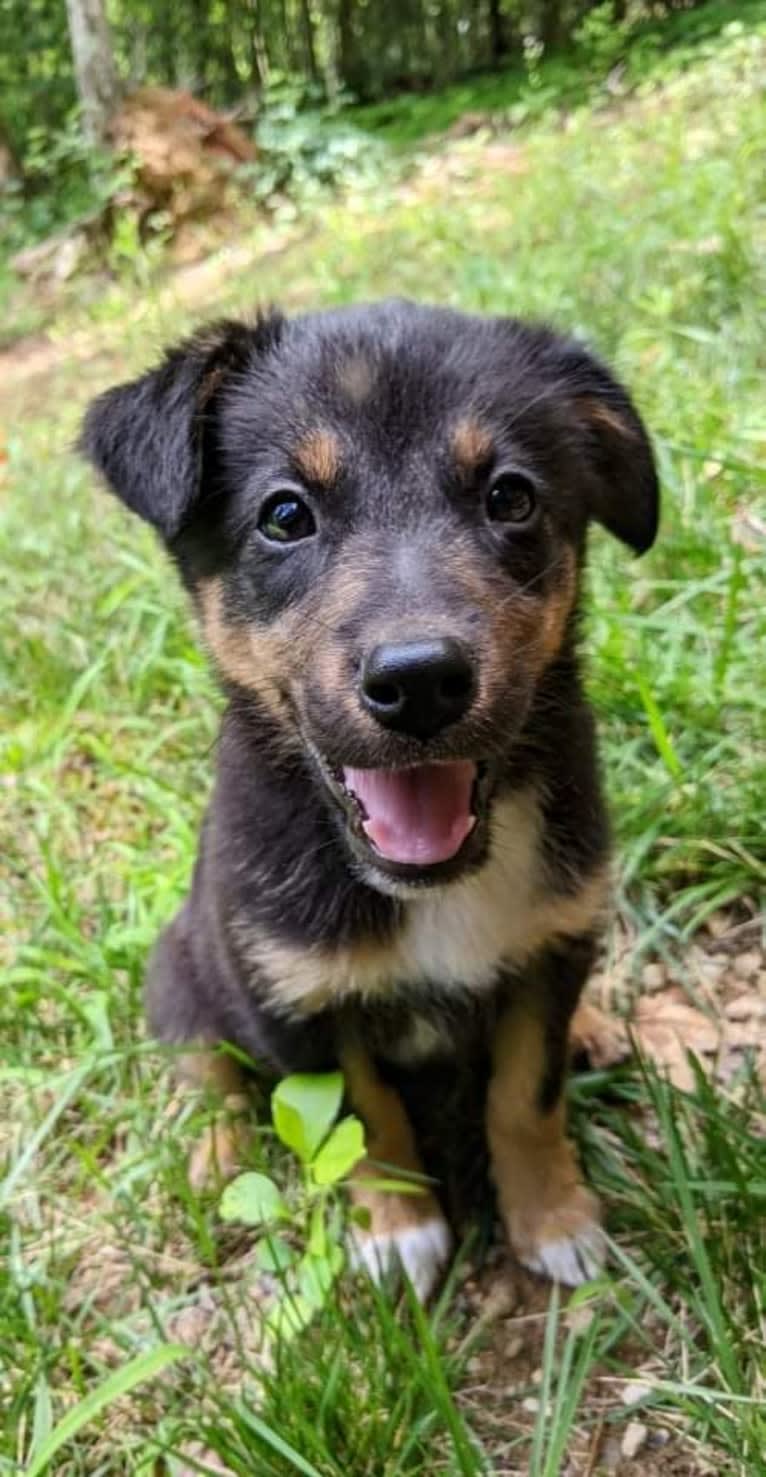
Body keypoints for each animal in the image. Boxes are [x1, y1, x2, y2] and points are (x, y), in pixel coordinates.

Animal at [82, 302, 658, 1305]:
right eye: (285, 515)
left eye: (511, 497)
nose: (420, 680)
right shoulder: (289, 995)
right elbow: (362, 1116)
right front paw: (398, 1229)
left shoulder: (553, 941)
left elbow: (525, 1094)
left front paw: (554, 1219)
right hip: (180, 968)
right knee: (206, 1074)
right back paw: (215, 1159)